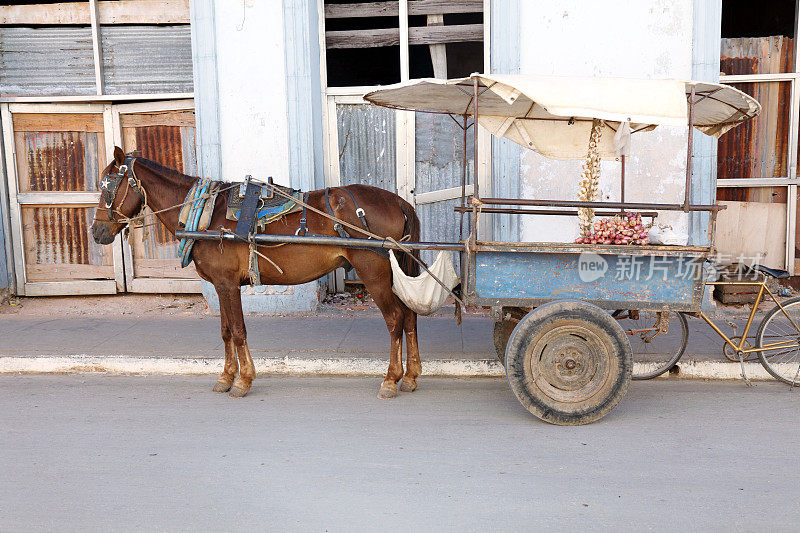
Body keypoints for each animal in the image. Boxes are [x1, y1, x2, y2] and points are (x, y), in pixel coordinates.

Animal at [92, 148, 424, 396]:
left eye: (107, 187)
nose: (96, 232)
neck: (205, 214)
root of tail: (398, 200)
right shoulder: (221, 285)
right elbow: (226, 331)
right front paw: (226, 377)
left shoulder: (227, 284)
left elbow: (239, 331)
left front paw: (243, 380)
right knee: (409, 316)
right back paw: (410, 376)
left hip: (374, 272)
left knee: (395, 319)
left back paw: (391, 379)